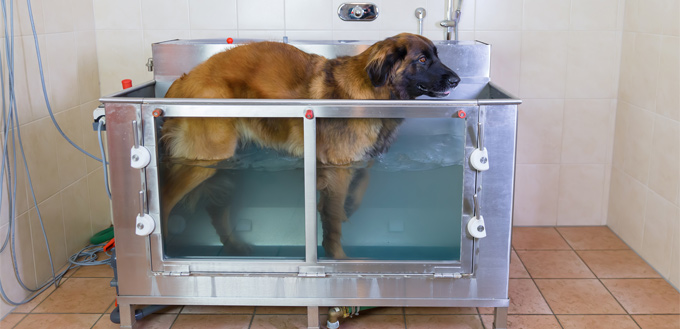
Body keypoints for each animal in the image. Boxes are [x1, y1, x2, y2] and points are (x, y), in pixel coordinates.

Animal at [161, 33, 456, 258]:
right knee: (166, 197)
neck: (373, 91)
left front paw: (351, 205)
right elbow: (333, 221)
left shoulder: (358, 161)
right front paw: (338, 258)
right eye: (422, 59)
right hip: (206, 160)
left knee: (217, 209)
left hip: (229, 164)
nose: (456, 80)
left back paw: (233, 245)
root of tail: (184, 79)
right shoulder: (338, 170)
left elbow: (362, 184)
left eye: (438, 56)